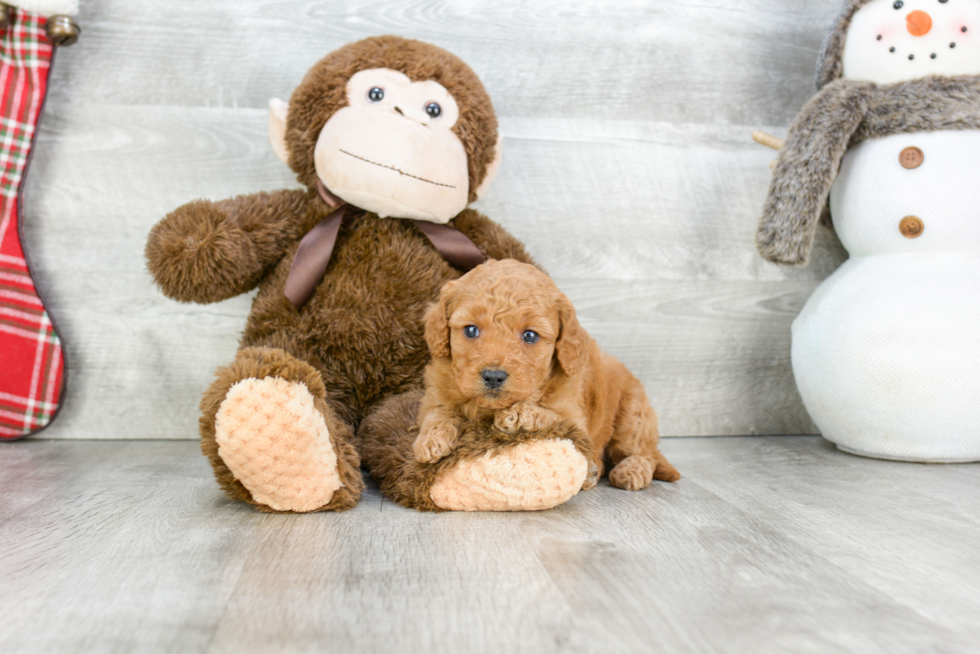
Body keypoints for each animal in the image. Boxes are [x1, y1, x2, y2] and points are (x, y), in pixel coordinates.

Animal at [410, 258, 676, 490]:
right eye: (471, 330)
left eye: (530, 335)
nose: (493, 376)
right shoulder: (435, 393)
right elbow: (437, 413)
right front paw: (430, 440)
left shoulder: (576, 420)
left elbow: (552, 415)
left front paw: (518, 414)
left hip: (632, 414)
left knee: (643, 453)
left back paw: (630, 471)